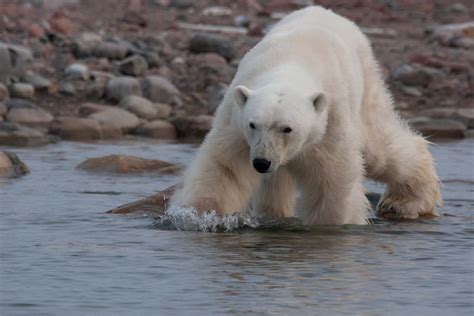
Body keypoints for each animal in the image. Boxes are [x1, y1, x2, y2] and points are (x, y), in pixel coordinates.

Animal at [169, 6, 440, 225]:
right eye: (253, 124)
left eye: (287, 128)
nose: (261, 162)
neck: (291, 63)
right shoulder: (236, 123)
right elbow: (225, 169)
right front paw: (199, 215)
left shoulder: (329, 123)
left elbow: (331, 182)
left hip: (365, 88)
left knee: (380, 151)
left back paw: (404, 201)